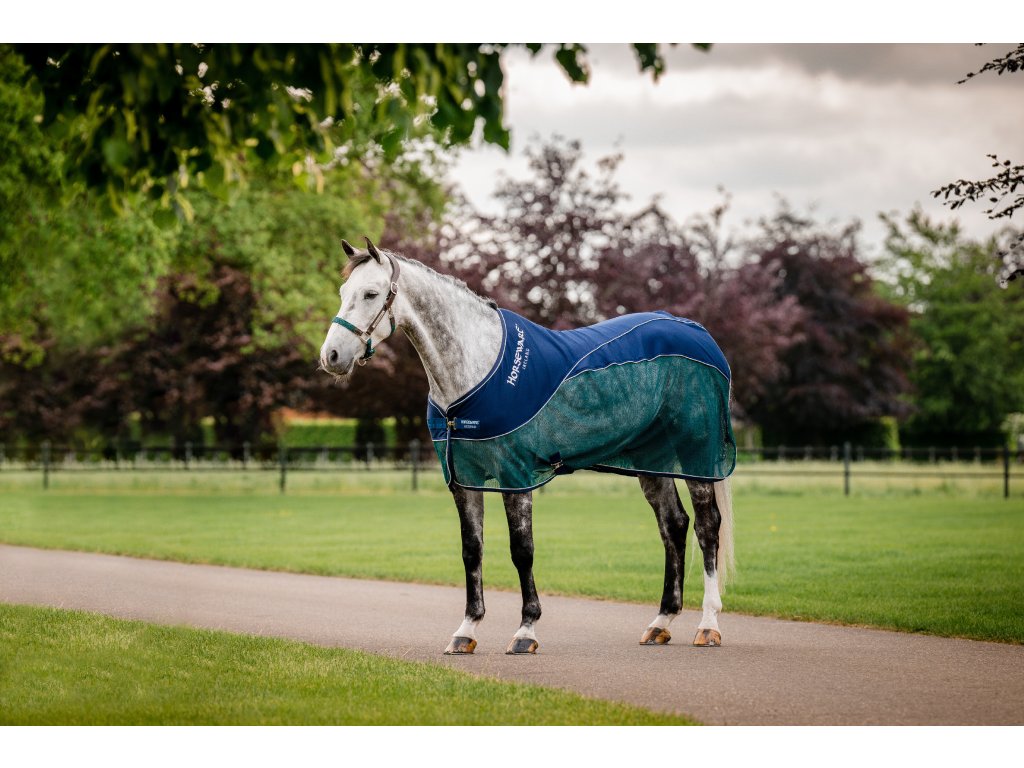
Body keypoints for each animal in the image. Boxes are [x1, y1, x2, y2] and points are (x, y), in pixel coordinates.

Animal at [319, 237, 736, 655]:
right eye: (342, 292)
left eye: (371, 294)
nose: (331, 357)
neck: (478, 370)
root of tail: (698, 333)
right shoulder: (463, 480)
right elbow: (472, 549)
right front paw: (466, 630)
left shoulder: (515, 476)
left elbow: (522, 550)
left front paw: (526, 631)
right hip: (651, 462)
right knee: (674, 525)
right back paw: (661, 621)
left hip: (697, 454)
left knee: (706, 527)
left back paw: (708, 625)